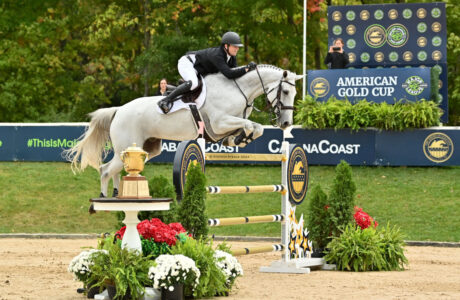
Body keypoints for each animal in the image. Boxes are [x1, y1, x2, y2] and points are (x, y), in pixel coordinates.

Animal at [64, 65, 302, 197]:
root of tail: (119, 110)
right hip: (129, 145)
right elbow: (251, 126)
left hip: (147, 150)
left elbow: (256, 127)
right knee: (105, 169)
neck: (238, 89)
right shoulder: (219, 123)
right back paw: (102, 200)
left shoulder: (226, 125)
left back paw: (115, 195)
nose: (286, 124)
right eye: (285, 91)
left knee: (114, 170)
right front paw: (240, 139)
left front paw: (237, 140)